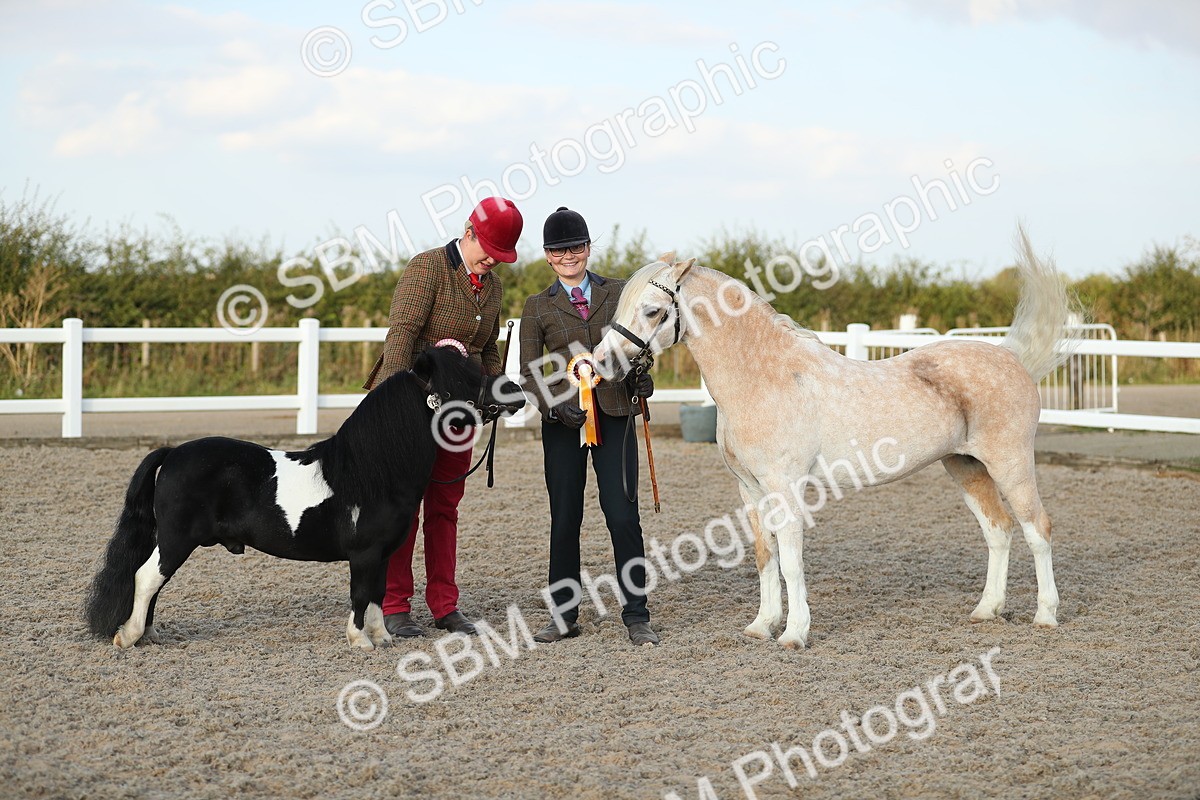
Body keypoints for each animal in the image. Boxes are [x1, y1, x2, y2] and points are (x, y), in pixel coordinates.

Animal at [84, 345, 525, 651]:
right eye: (461, 379)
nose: (516, 393)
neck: (372, 470)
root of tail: (172, 453)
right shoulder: (364, 553)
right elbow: (361, 594)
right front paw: (360, 641)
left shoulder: (382, 553)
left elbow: (378, 594)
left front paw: (382, 638)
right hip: (176, 539)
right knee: (146, 577)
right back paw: (129, 636)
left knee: (153, 582)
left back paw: (149, 634)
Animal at [593, 228, 1080, 649]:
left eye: (652, 310)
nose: (600, 364)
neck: (765, 377)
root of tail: (1010, 358)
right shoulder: (749, 490)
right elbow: (765, 556)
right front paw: (761, 626)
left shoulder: (785, 487)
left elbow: (791, 562)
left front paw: (794, 635)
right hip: (966, 467)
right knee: (998, 531)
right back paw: (986, 610)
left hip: (1011, 465)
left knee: (1037, 529)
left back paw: (1046, 615)